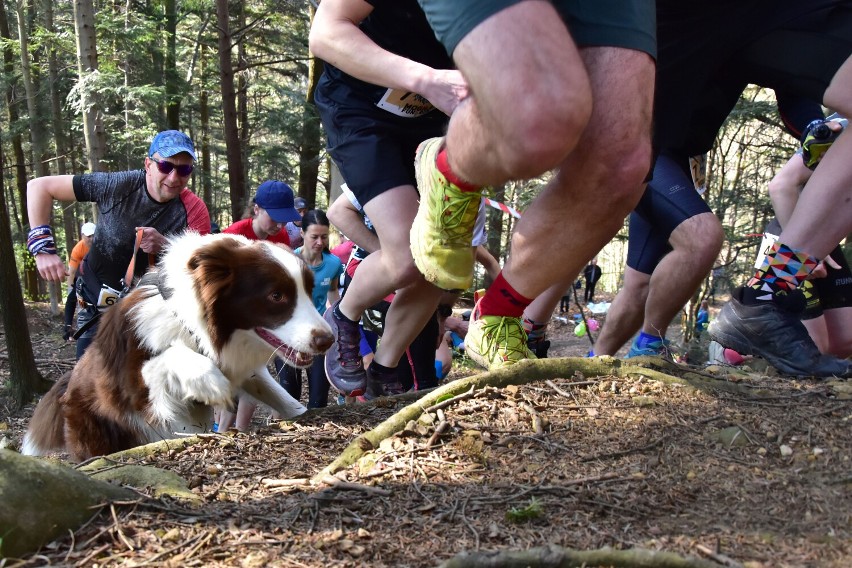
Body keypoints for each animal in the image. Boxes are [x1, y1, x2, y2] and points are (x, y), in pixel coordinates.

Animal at [20, 232, 332, 462]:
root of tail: (66, 382)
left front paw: (299, 413)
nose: (328, 340)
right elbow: (167, 359)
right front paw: (210, 381)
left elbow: (278, 394)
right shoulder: (136, 388)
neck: (194, 325)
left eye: (309, 291)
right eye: (276, 295)